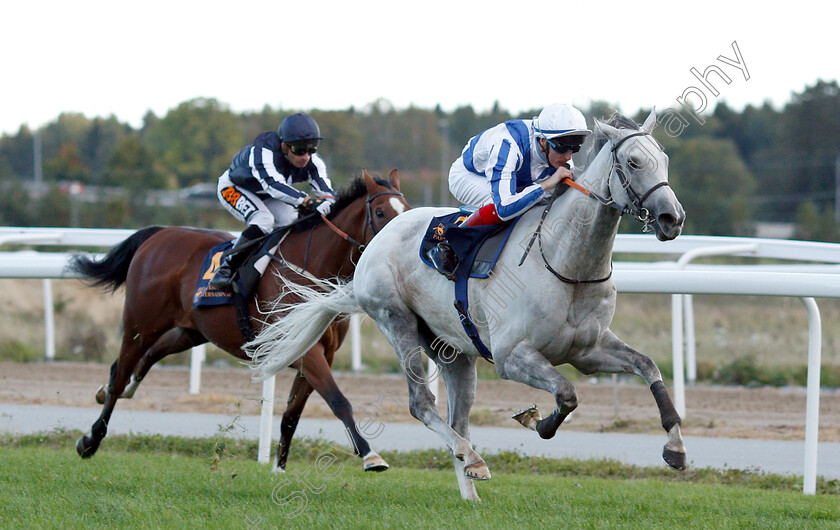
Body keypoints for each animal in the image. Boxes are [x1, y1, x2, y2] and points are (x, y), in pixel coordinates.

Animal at [69, 169, 410, 470]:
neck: (312, 269)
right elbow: (339, 401)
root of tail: (160, 233)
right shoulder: (304, 350)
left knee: (145, 358)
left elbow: (292, 415)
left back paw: (111, 392)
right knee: (122, 369)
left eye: (407, 211)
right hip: (141, 322)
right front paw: (370, 455)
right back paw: (91, 440)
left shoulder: (321, 352)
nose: (400, 250)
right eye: (380, 212)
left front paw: (278, 469)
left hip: (190, 330)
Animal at [246, 109, 684, 498]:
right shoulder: (512, 356)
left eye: (664, 159)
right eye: (633, 161)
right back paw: (470, 457)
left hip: (455, 352)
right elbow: (566, 394)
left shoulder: (588, 351)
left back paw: (470, 487)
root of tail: (373, 246)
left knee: (458, 419)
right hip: (397, 322)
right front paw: (536, 422)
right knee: (423, 405)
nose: (672, 218)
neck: (566, 262)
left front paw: (675, 447)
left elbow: (648, 366)